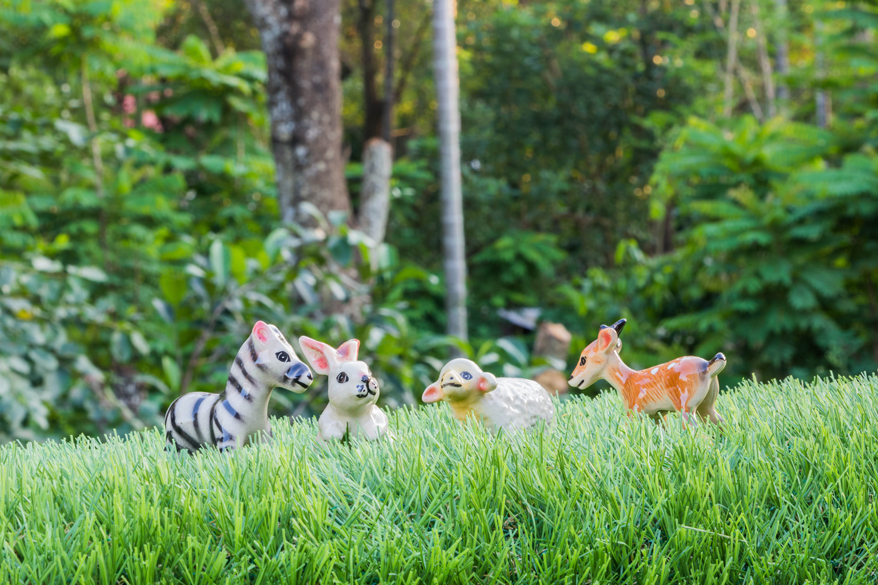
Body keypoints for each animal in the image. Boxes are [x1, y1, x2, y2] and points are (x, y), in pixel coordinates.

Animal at [164, 320, 312, 452]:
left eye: (293, 351)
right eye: (282, 356)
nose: (310, 376)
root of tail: (173, 404)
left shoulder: (264, 437)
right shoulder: (229, 440)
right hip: (175, 442)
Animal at [572, 320, 728, 424]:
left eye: (583, 359)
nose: (571, 377)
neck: (626, 383)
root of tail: (708, 366)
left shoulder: (634, 411)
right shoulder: (657, 414)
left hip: (685, 404)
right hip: (707, 404)